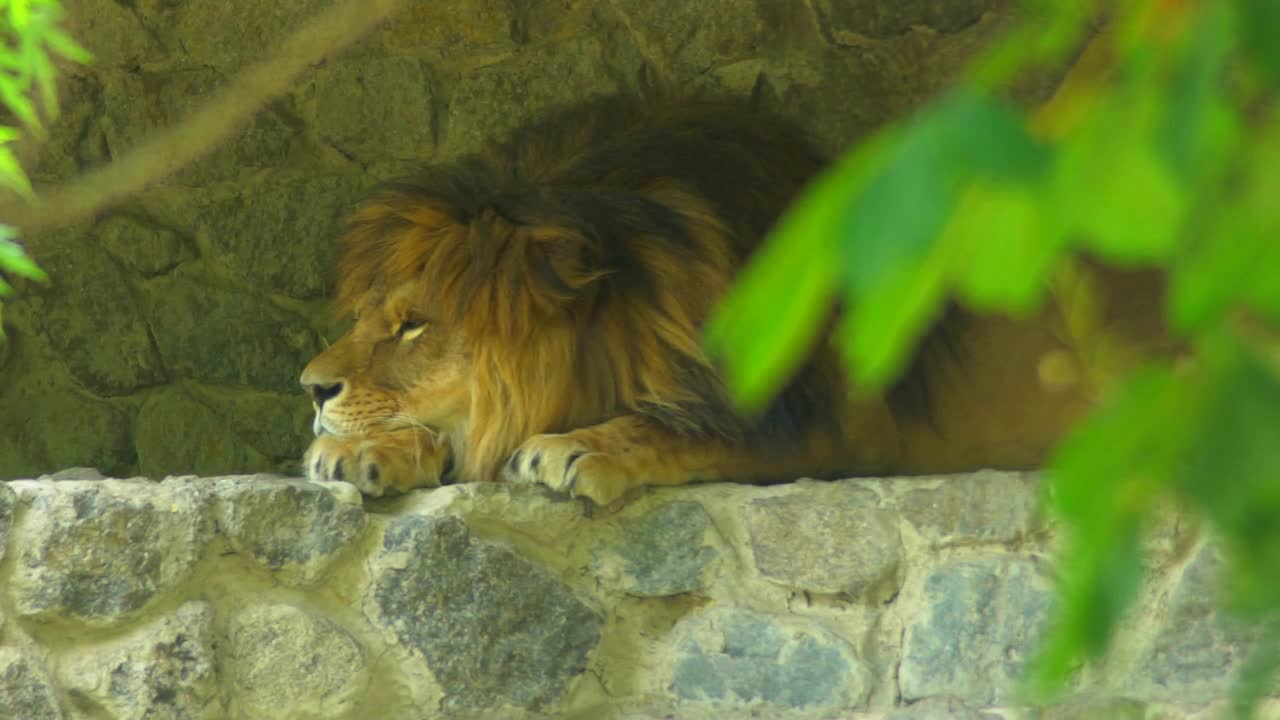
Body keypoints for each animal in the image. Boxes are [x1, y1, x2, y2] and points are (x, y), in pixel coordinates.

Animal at [299, 92, 1172, 502]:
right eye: (369, 318)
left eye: (414, 326)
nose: (310, 389)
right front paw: (364, 450)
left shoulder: (829, 428)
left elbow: (689, 429)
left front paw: (583, 447)